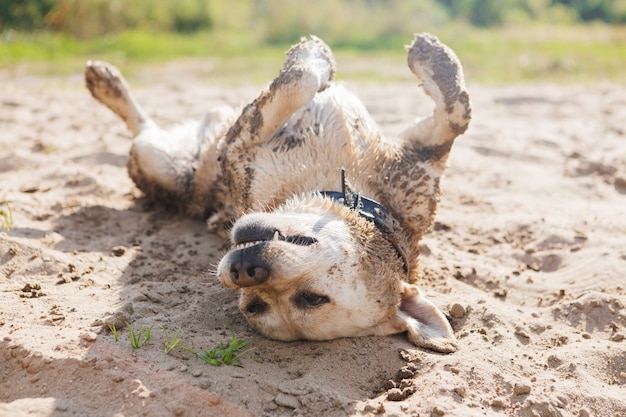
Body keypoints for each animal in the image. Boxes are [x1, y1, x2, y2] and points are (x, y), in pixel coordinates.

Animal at [85, 33, 470, 352]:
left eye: (311, 299)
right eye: (255, 305)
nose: (244, 270)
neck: (348, 192)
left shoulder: (236, 149)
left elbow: (299, 82)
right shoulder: (418, 160)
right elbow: (457, 112)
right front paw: (430, 55)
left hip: (156, 162)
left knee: (142, 131)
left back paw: (106, 84)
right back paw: (106, 79)